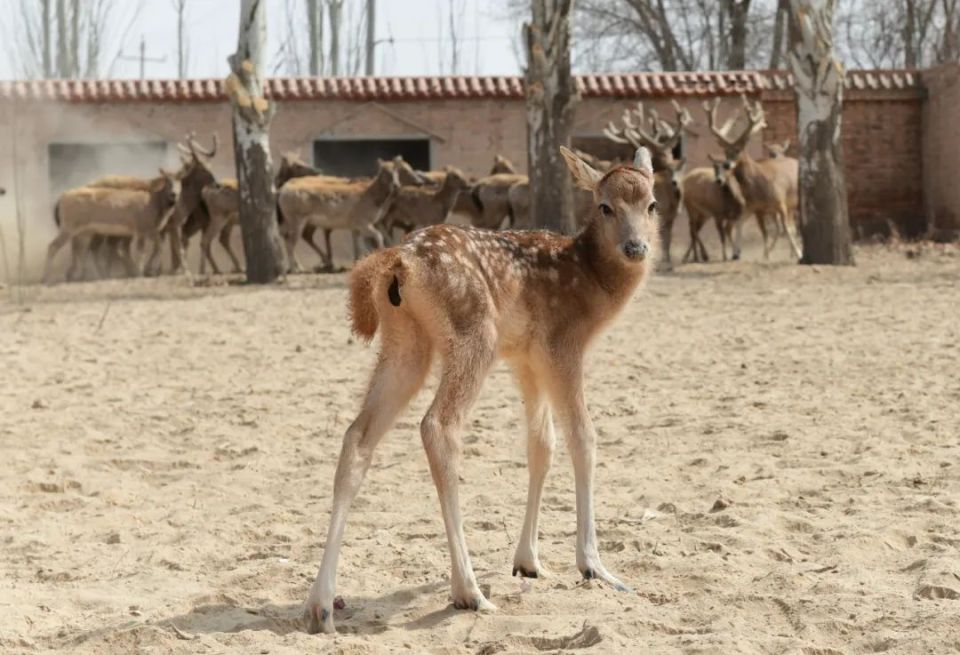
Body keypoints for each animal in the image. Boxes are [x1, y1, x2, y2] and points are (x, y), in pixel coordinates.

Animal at [302, 145, 659, 635]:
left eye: (652, 204)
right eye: (605, 206)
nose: (636, 247)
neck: (590, 284)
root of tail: (398, 262)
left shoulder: (526, 359)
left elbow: (540, 445)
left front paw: (529, 561)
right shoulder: (561, 346)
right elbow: (583, 437)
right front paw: (594, 567)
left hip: (405, 343)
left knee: (358, 434)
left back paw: (320, 604)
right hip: (475, 334)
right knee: (438, 425)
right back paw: (468, 590)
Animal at [604, 100, 691, 265]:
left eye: (680, 169)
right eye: (667, 168)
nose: (676, 183)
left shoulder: (669, 217)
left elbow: (668, 238)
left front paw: (667, 261)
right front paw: (664, 262)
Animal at [704, 96, 802, 260]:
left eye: (738, 150)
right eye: (725, 151)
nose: (727, 164)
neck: (759, 184)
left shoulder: (780, 201)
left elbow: (786, 230)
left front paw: (799, 254)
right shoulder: (755, 207)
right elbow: (753, 229)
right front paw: (740, 253)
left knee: (793, 227)